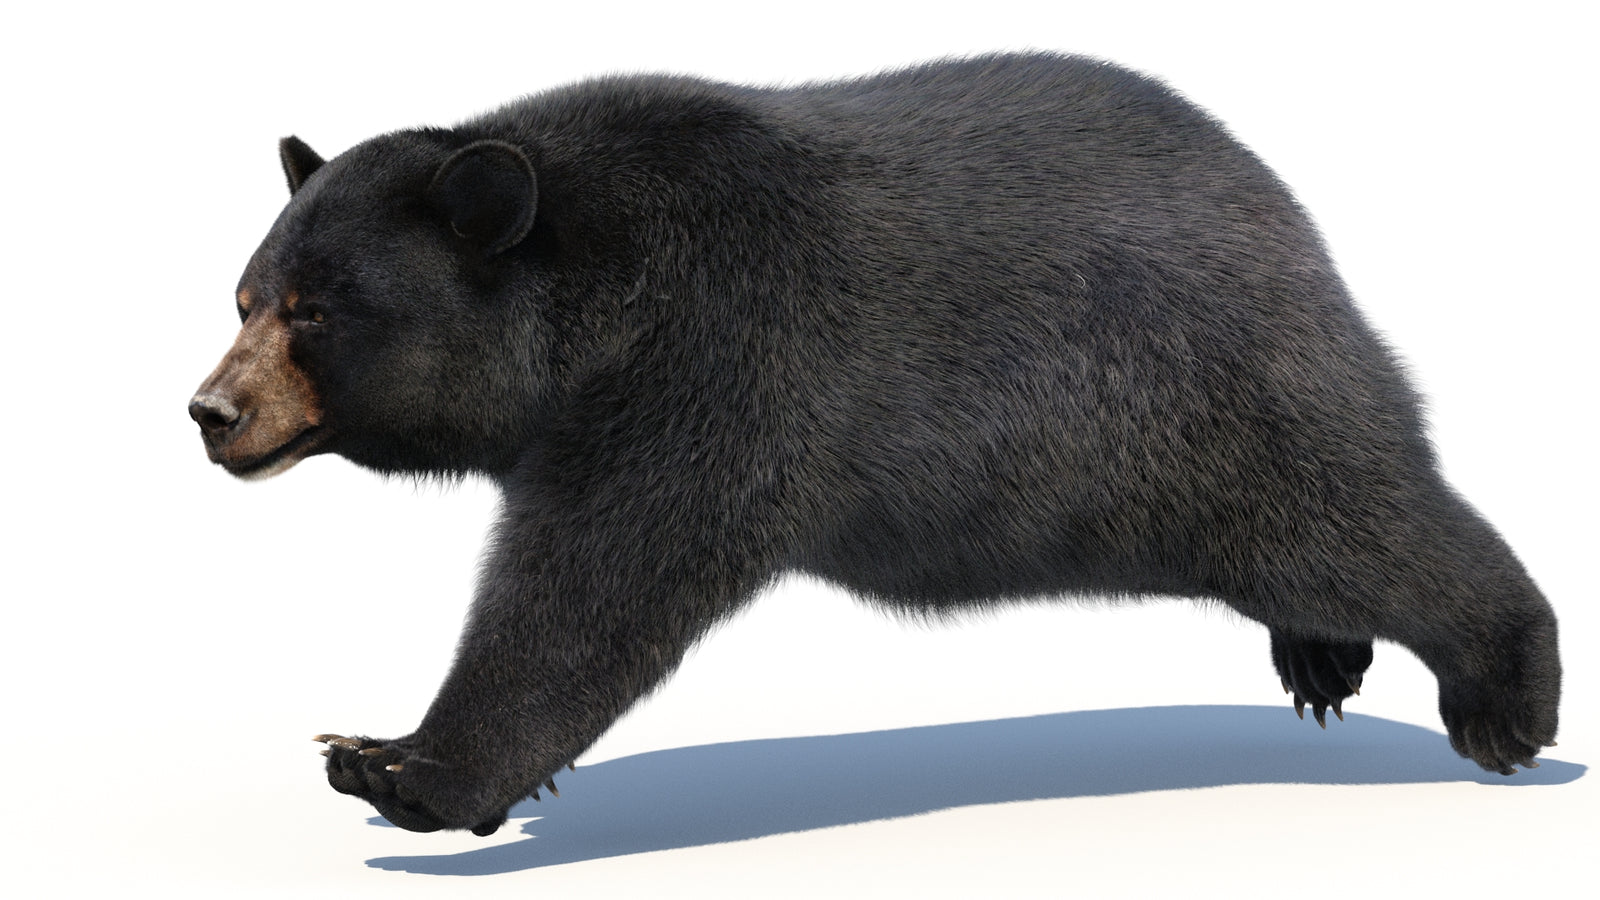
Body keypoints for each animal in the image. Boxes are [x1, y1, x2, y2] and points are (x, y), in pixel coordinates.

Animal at [189, 52, 1560, 836]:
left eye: (317, 310)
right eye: (244, 297)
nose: (210, 413)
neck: (594, 289)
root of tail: (1287, 212)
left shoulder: (718, 363)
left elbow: (594, 586)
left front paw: (400, 765)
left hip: (1202, 409)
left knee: (1362, 521)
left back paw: (1505, 696)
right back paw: (1320, 655)